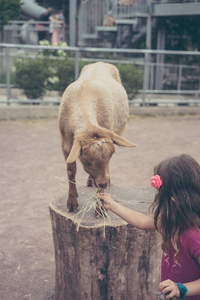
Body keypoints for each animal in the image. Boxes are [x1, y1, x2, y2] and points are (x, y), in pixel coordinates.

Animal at [58, 62, 136, 213]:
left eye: (110, 157)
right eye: (87, 161)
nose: (104, 183)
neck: (84, 96)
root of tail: (101, 62)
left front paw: (100, 209)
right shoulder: (66, 144)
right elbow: (70, 172)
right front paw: (72, 203)